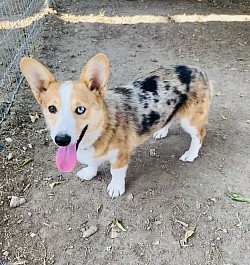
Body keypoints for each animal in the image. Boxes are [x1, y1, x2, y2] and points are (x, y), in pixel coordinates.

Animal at [19, 53, 212, 196]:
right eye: (52, 108)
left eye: (80, 109)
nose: (62, 140)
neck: (98, 133)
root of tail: (197, 69)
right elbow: (92, 164)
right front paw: (89, 173)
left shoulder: (121, 156)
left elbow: (116, 173)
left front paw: (116, 188)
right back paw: (161, 131)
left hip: (190, 121)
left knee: (199, 135)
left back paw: (190, 154)